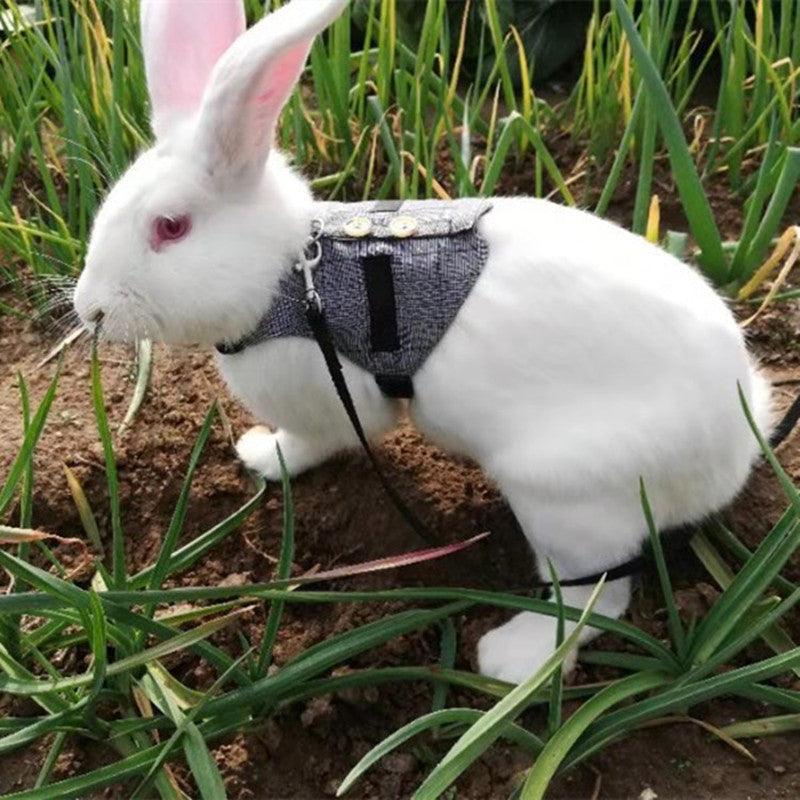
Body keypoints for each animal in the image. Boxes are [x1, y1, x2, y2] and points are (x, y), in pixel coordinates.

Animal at [73, 0, 773, 684]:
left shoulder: (332, 403)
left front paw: (264, 457)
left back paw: (509, 659)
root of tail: (737, 444)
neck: (288, 273)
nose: (89, 309)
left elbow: (311, 442)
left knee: (593, 599)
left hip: (566, 500)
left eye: (170, 227)